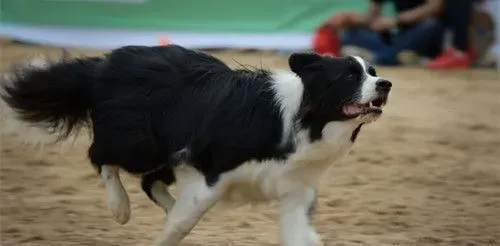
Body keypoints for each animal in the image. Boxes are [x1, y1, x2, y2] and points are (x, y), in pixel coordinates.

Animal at [0, 44, 390, 246]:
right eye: (349, 76)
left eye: (372, 72)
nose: (385, 84)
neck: (306, 117)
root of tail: (105, 63)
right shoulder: (207, 172)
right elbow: (180, 226)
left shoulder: (295, 190)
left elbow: (299, 237)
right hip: (139, 143)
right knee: (101, 157)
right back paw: (119, 207)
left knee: (149, 182)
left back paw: (163, 204)